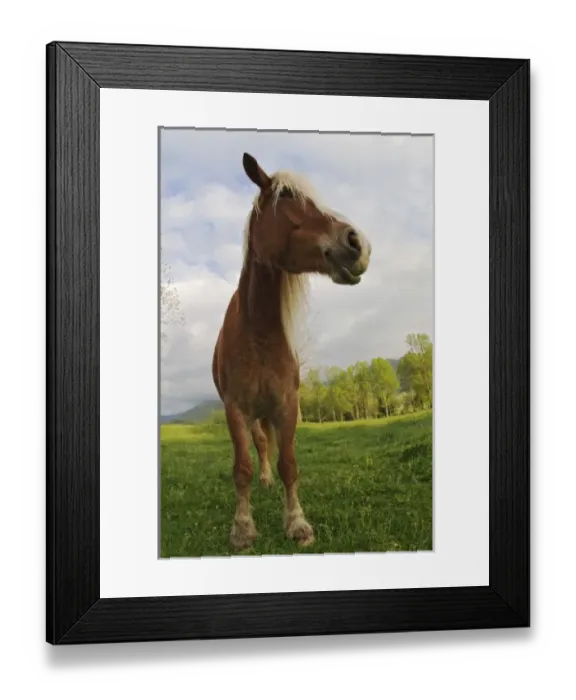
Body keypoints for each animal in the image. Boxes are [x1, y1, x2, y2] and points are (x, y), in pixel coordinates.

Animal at [212, 153, 372, 550]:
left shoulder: (287, 405)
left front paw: (297, 523)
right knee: (258, 446)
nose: (358, 243)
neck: (259, 334)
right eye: (285, 198)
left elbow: (289, 464)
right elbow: (242, 468)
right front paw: (243, 528)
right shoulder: (236, 409)